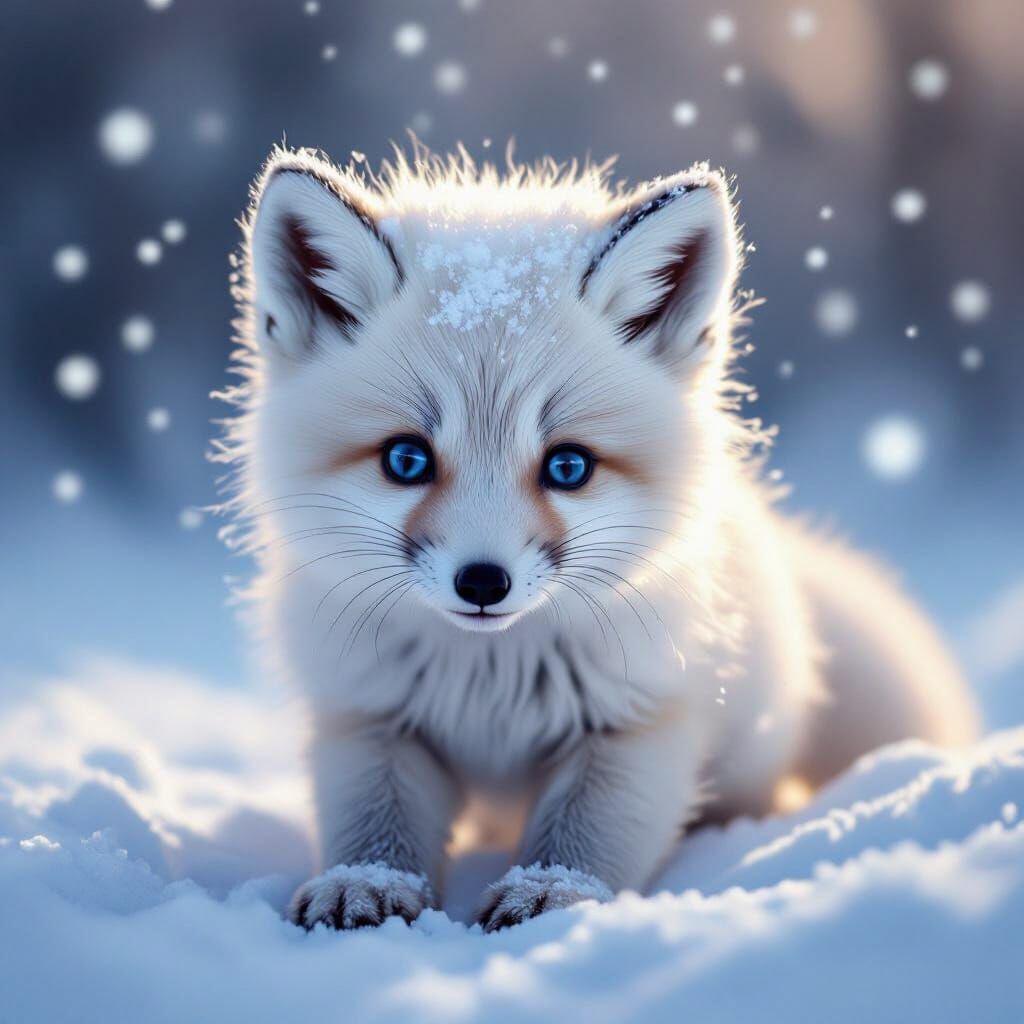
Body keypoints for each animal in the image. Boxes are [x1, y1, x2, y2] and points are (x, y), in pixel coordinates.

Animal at [215, 143, 979, 932]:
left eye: (568, 466)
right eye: (406, 460)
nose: (483, 582)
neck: (489, 681)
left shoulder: (638, 725)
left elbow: (582, 840)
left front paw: (551, 895)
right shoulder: (369, 719)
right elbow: (374, 828)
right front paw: (363, 883)